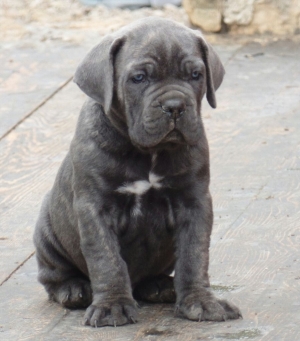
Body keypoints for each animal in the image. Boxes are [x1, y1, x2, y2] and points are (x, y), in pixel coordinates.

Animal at [34, 17, 243, 326]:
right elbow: (106, 258)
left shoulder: (194, 202)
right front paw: (112, 306)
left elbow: (194, 254)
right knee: (53, 275)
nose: (174, 106)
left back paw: (159, 285)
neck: (147, 152)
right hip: (47, 230)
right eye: (139, 78)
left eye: (196, 75)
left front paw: (200, 301)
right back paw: (73, 289)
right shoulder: (95, 209)